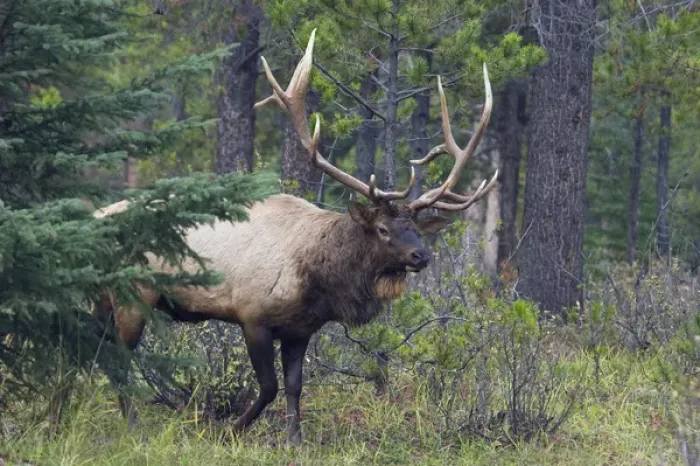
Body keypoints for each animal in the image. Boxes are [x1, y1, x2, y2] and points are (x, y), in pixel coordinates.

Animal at [92, 29, 496, 445]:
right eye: (383, 229)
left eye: (416, 230)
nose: (421, 257)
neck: (315, 281)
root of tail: (95, 218)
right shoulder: (251, 315)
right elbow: (269, 386)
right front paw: (229, 429)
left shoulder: (300, 330)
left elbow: (294, 386)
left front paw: (295, 440)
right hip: (134, 294)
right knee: (118, 357)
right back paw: (133, 427)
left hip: (105, 297)